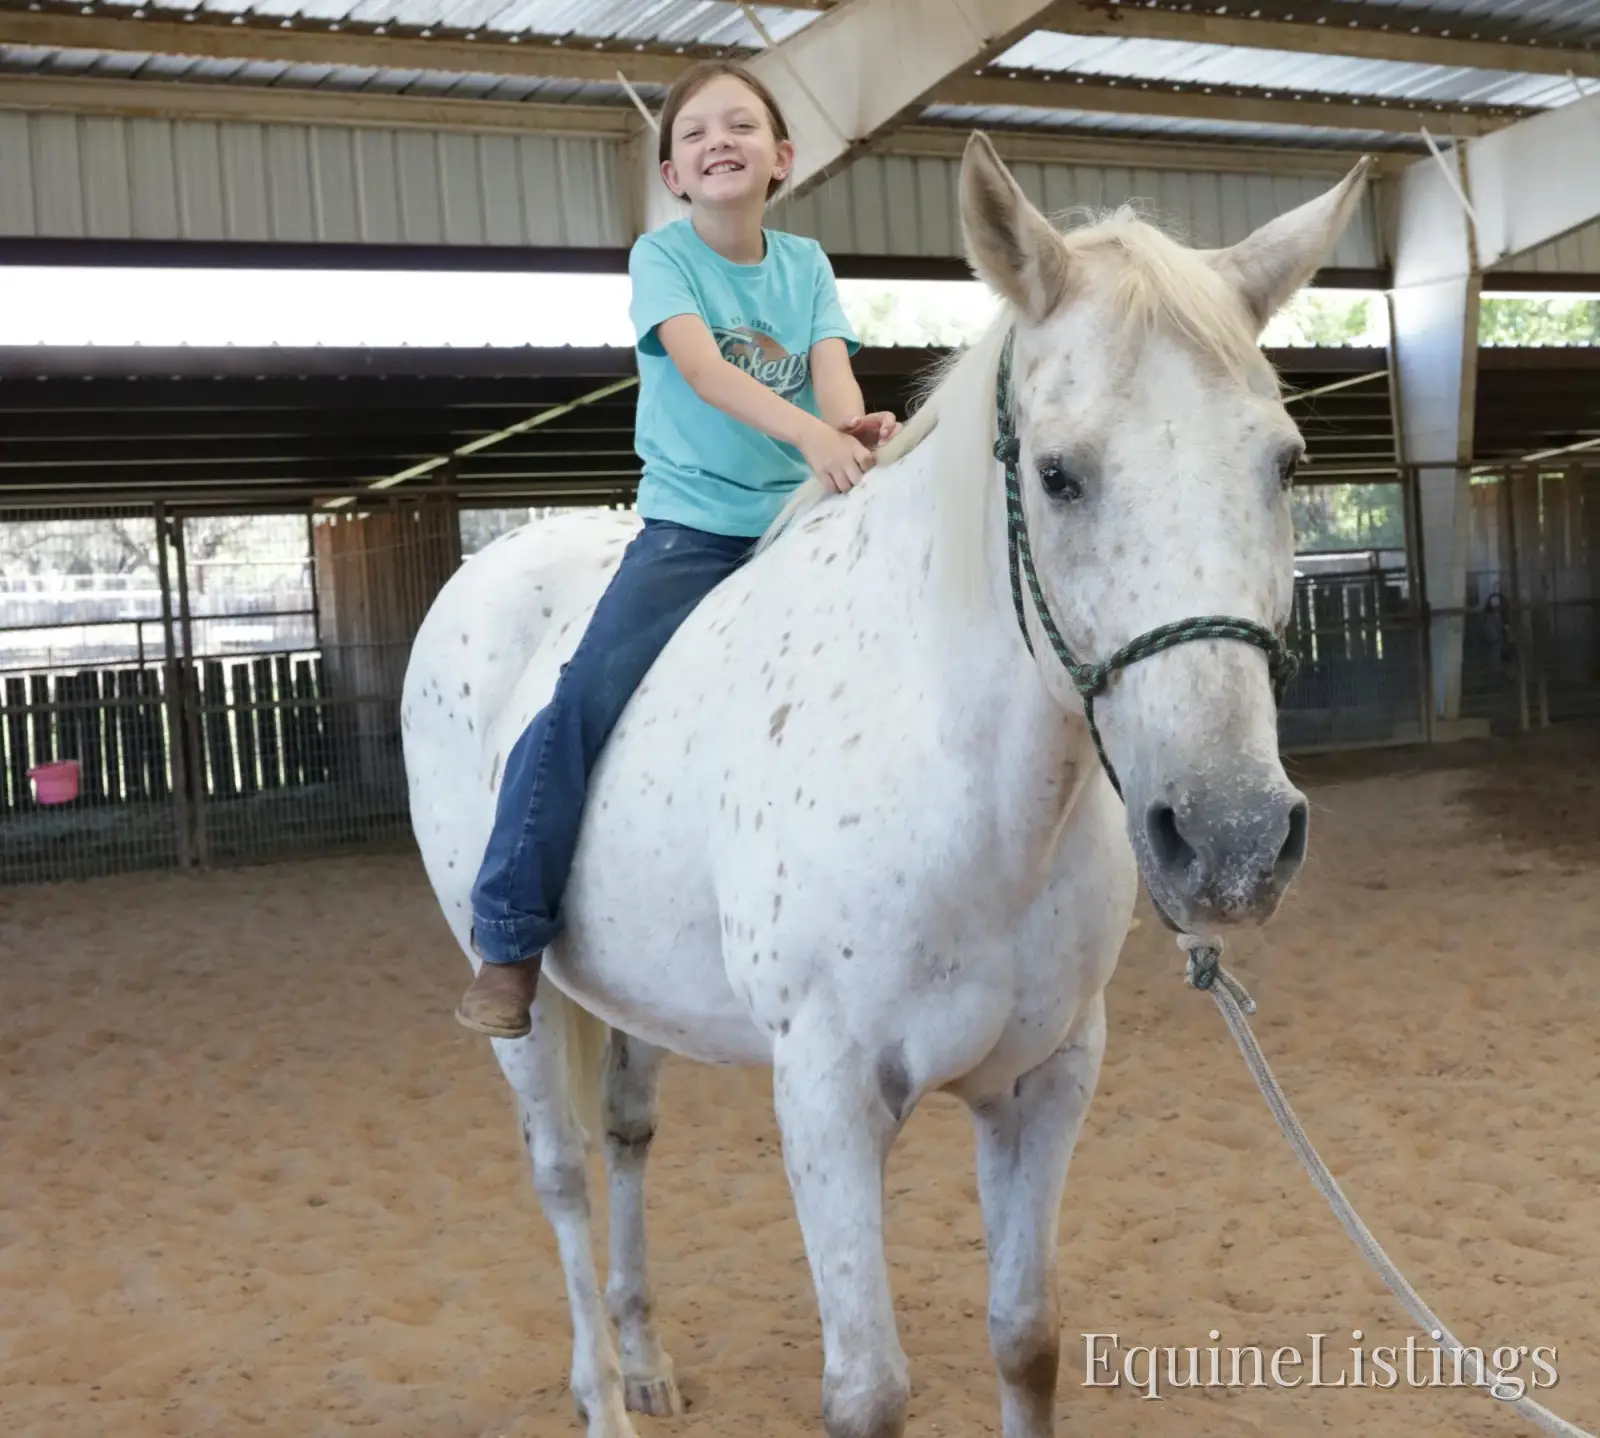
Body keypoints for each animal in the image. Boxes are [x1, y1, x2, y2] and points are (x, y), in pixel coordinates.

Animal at [400, 131, 1370, 1438]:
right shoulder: (826, 1101)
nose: (1230, 838)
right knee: (559, 1176)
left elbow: (1026, 1338)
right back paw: (604, 1396)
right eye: (1058, 475)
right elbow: (867, 1391)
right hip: (516, 982)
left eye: (1285, 463)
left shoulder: (1044, 1083)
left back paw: (646, 1360)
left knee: (627, 1136)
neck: (967, 794)